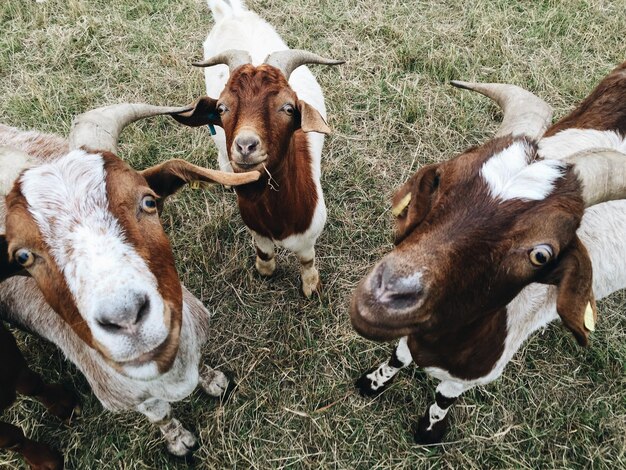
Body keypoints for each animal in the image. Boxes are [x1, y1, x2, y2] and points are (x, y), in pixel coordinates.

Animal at [0, 103, 258, 458]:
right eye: (23, 256)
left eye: (148, 201)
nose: (125, 317)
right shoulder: (127, 396)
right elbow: (160, 415)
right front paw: (179, 442)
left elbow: (202, 363)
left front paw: (214, 381)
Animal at [172, 0, 342, 298]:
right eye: (221, 108)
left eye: (289, 108)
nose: (245, 145)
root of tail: (231, 14)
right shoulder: (255, 227)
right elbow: (264, 253)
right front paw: (265, 272)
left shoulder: (310, 233)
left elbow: (306, 259)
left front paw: (311, 288)